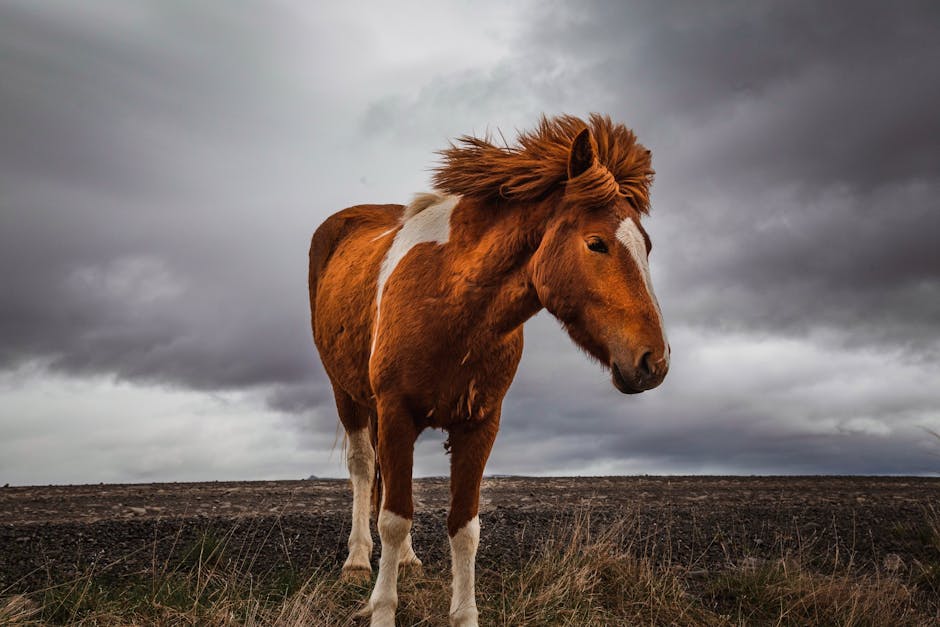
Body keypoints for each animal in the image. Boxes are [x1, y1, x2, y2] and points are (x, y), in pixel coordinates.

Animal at [308, 114, 668, 627]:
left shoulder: (480, 422)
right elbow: (394, 518)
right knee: (363, 469)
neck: (451, 298)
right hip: (349, 395)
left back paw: (408, 560)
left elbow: (463, 526)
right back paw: (357, 561)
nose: (654, 361)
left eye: (648, 246)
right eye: (596, 243)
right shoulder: (395, 411)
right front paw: (382, 608)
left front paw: (462, 611)